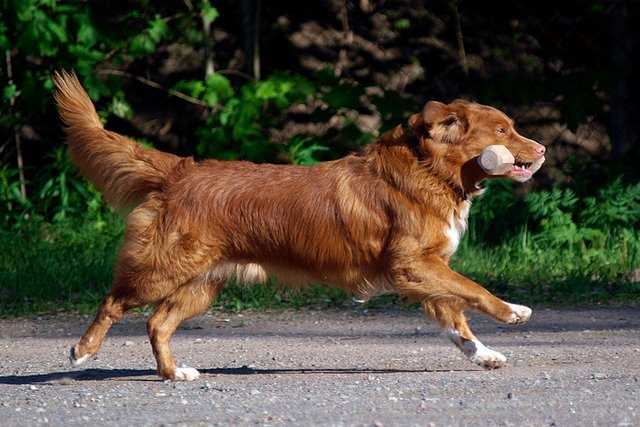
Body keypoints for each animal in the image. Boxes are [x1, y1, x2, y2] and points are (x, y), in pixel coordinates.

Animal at [53, 71, 544, 382]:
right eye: (503, 130)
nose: (541, 150)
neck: (428, 170)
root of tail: (180, 169)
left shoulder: (428, 269)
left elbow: (456, 314)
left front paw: (484, 355)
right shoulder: (413, 265)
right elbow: (473, 290)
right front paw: (513, 312)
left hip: (201, 284)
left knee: (158, 322)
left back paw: (174, 372)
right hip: (162, 270)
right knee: (115, 302)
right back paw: (83, 351)